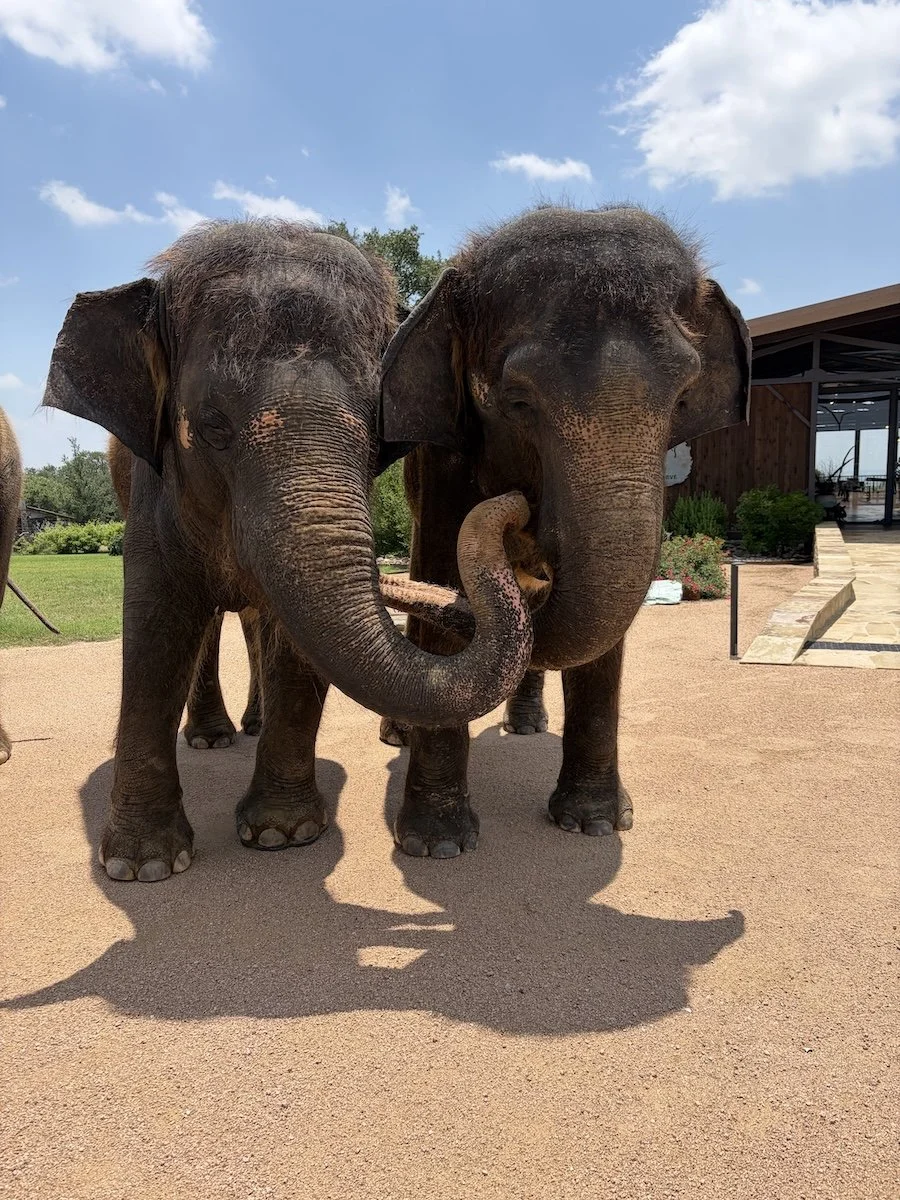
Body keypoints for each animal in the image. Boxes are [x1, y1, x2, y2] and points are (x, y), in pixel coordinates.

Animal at [43, 219, 534, 882]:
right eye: (211, 427)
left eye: (379, 436)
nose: (516, 505)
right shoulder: (151, 492)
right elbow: (155, 630)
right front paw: (141, 867)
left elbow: (296, 644)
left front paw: (282, 834)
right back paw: (212, 739)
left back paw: (247, 727)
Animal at [377, 205, 750, 858]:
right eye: (517, 401)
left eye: (683, 399)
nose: (516, 510)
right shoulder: (446, 458)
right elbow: (442, 574)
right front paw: (437, 846)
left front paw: (593, 823)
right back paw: (402, 733)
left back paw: (526, 725)